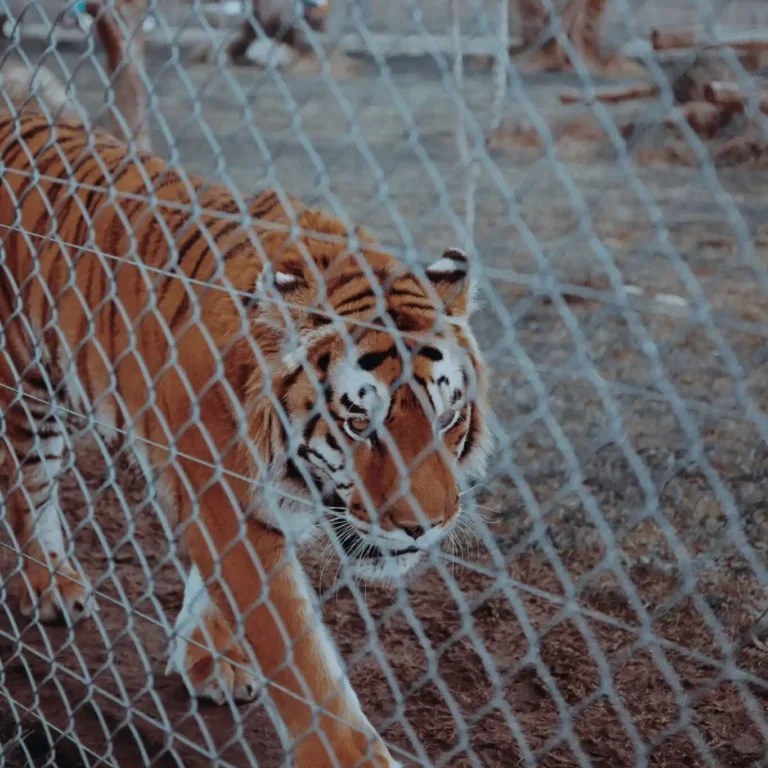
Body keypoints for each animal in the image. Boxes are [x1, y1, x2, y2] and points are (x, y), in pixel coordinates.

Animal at [0, 69, 493, 768]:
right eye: (360, 423)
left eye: (448, 417)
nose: (425, 528)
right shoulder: (223, 493)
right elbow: (295, 650)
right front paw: (347, 755)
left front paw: (211, 660)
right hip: (27, 381)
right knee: (27, 489)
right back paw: (45, 584)